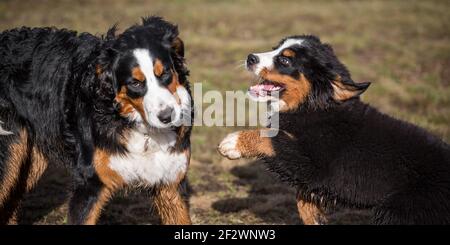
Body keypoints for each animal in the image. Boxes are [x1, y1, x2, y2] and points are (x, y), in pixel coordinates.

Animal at [218, 35, 450, 225]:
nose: (250, 57)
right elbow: (303, 196)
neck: (312, 107)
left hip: (401, 211)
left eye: (285, 60)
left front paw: (232, 143)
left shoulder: (312, 163)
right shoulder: (312, 175)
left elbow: (270, 139)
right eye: (275, 48)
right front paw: (314, 216)